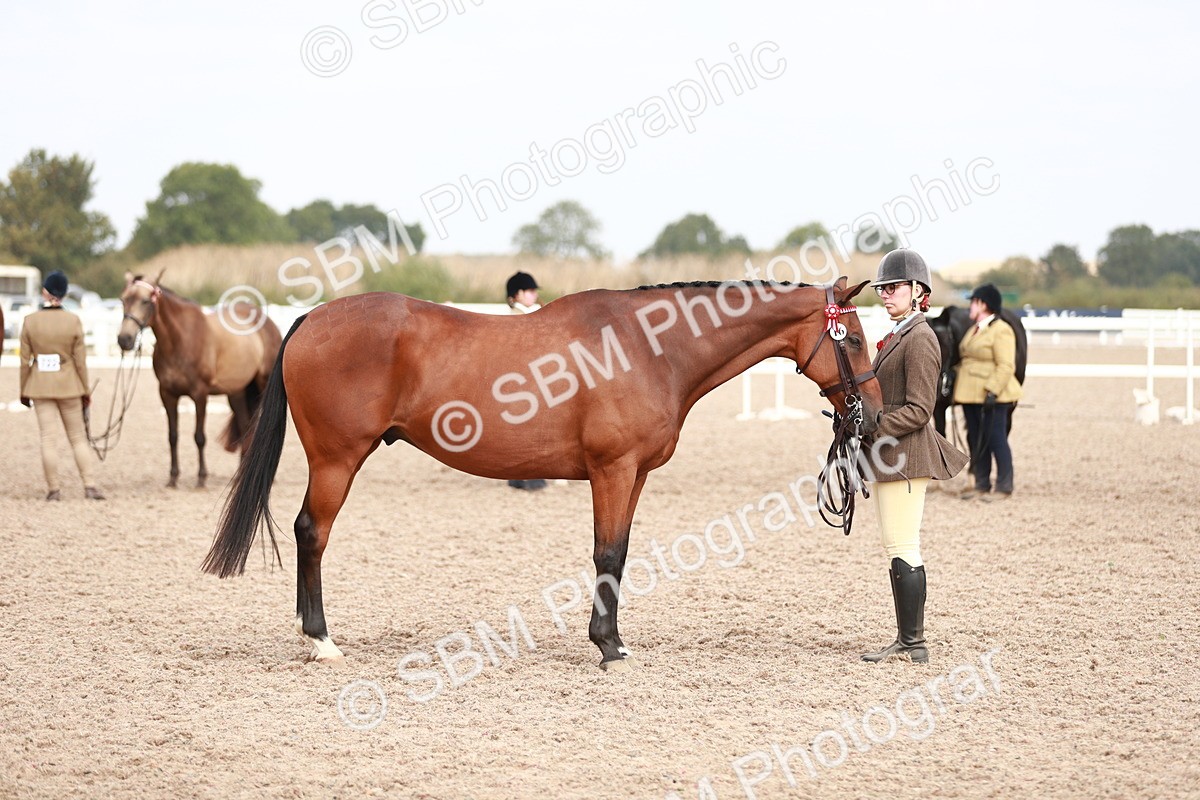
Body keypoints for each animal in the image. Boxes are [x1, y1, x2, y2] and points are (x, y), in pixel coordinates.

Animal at [117, 273, 283, 488]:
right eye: (123, 300)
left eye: (145, 301)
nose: (124, 340)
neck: (180, 339)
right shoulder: (167, 394)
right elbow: (172, 436)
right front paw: (173, 478)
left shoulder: (200, 394)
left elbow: (199, 437)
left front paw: (201, 478)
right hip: (237, 394)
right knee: (246, 428)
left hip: (263, 387)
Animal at [202, 277, 883, 670]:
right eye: (851, 338)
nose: (870, 416)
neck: (648, 347)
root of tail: (312, 319)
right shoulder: (612, 471)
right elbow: (607, 553)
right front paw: (606, 647)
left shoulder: (634, 476)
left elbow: (622, 553)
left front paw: (614, 639)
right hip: (337, 458)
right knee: (311, 532)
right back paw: (320, 640)